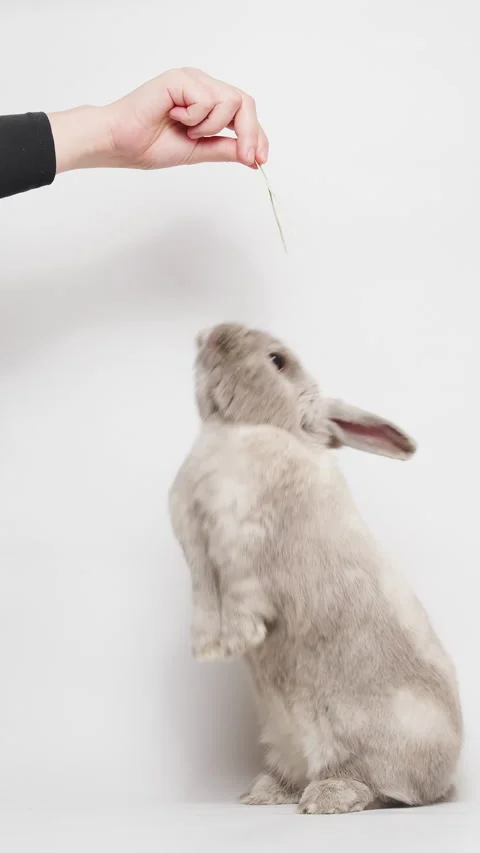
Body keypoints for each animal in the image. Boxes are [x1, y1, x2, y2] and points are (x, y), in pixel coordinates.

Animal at [169, 322, 462, 814]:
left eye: (277, 361)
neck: (241, 429)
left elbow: (238, 593)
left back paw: (327, 798)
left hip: (359, 737)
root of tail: (445, 780)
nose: (210, 335)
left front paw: (240, 639)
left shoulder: (243, 547)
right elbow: (205, 603)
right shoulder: (198, 558)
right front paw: (209, 650)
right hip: (282, 737)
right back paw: (264, 792)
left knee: (377, 787)